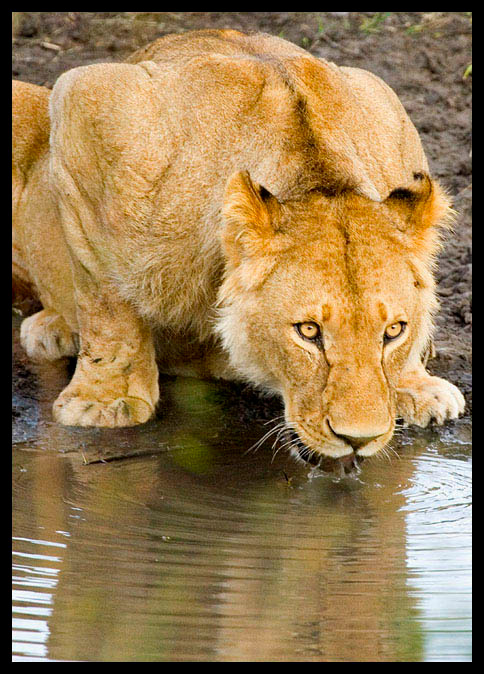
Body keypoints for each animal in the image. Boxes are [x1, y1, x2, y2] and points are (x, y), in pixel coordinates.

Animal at [12, 29, 465, 468]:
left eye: (394, 331)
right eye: (308, 331)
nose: (359, 440)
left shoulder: (387, 107)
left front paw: (416, 386)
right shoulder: (87, 102)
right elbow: (105, 300)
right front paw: (106, 402)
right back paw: (51, 330)